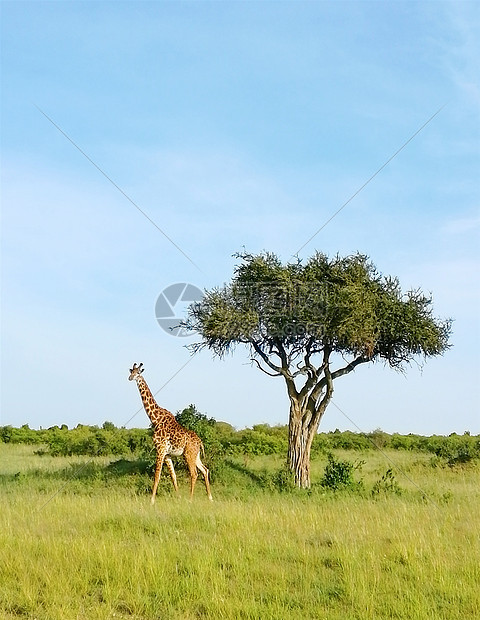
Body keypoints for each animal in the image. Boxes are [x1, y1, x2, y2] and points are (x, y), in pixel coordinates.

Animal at [127, 364, 212, 504]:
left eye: (138, 373)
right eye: (131, 371)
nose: (130, 377)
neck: (155, 418)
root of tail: (200, 442)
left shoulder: (160, 449)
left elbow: (157, 475)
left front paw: (151, 500)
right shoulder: (167, 454)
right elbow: (173, 476)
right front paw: (178, 497)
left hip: (188, 454)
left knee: (194, 473)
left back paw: (190, 499)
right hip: (196, 455)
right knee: (205, 470)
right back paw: (210, 498)